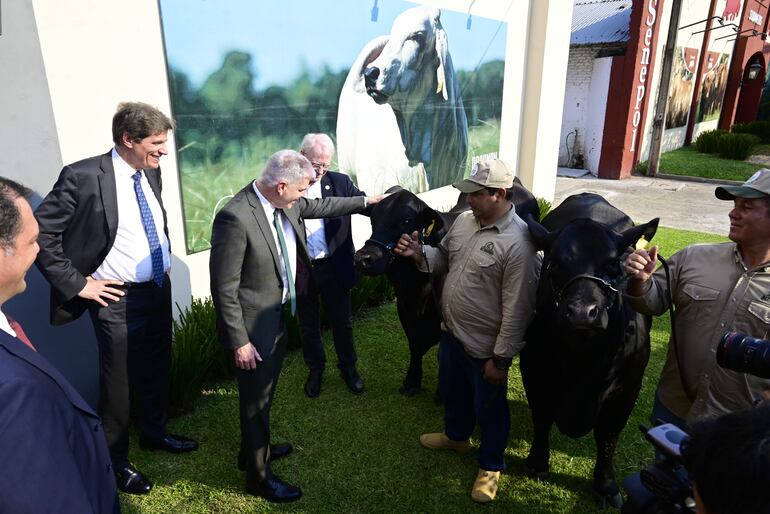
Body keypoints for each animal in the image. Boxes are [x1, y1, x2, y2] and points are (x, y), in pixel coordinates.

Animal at [520, 191, 656, 504]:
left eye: (614, 265)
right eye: (554, 264)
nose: (582, 312)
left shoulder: (628, 389)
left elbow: (608, 437)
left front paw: (605, 484)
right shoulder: (533, 371)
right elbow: (542, 417)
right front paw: (537, 462)